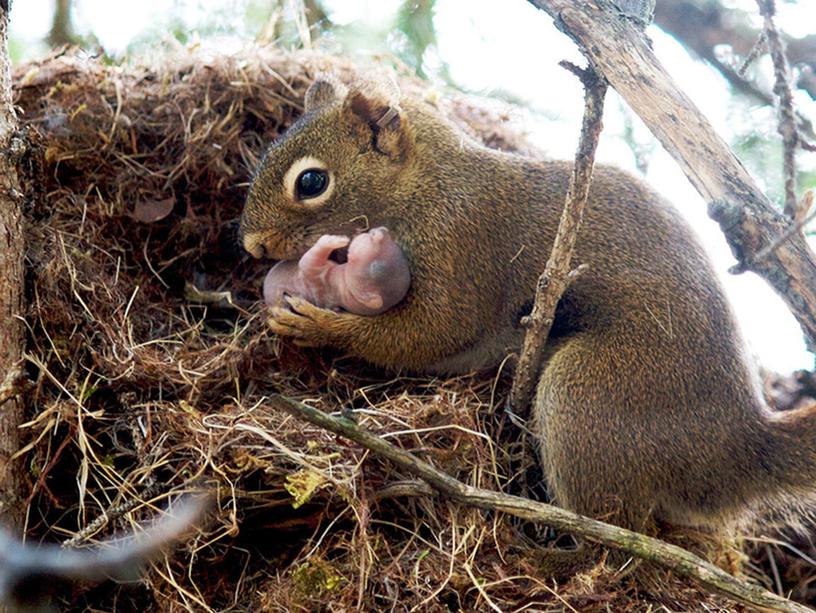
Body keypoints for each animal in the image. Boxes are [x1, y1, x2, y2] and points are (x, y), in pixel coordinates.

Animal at [237, 74, 816, 528]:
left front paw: (317, 324)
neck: (425, 186)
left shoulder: (462, 244)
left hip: (589, 393)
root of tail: (736, 446)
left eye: (312, 181)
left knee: (618, 532)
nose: (253, 246)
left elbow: (430, 332)